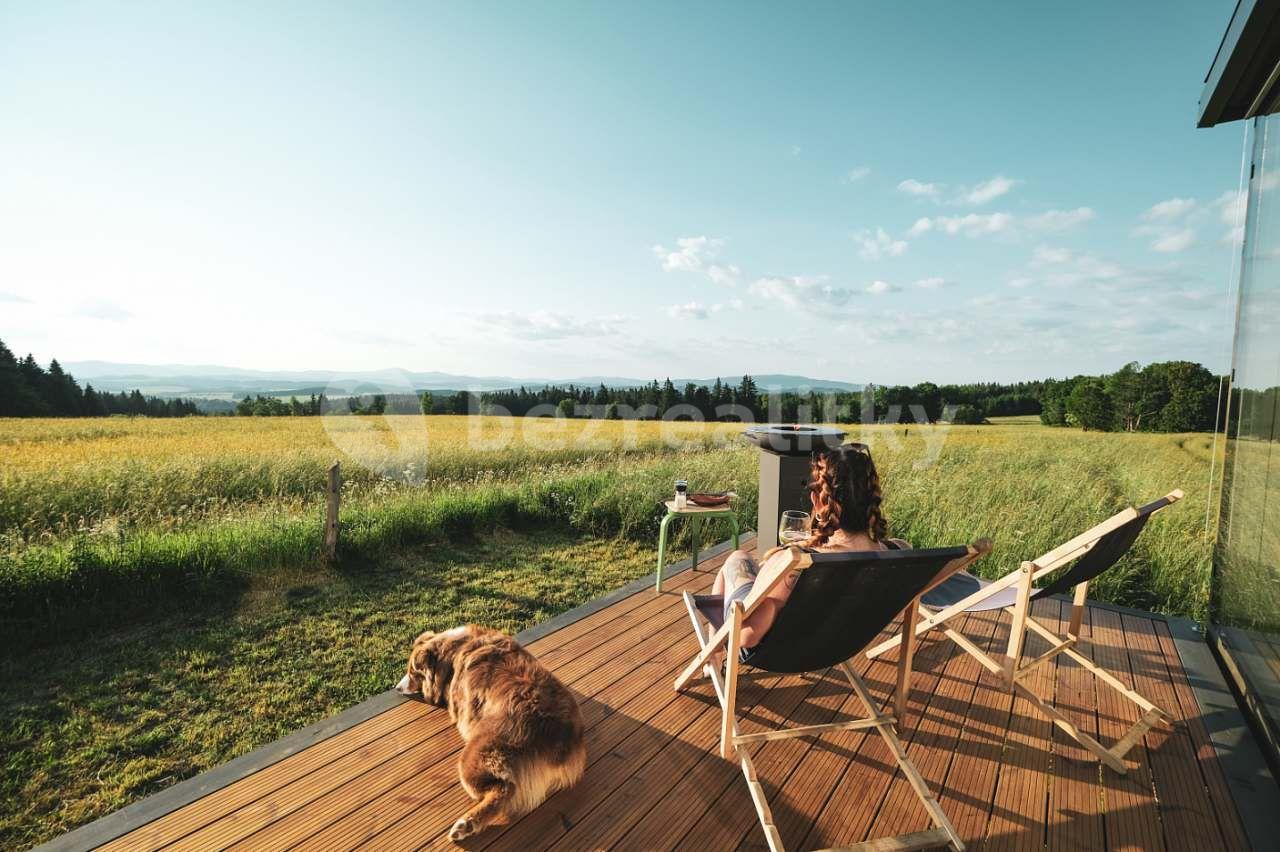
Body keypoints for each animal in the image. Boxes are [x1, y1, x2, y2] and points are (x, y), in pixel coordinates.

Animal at [396, 621, 586, 839]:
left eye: (412, 672)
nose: (396, 688)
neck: (453, 649)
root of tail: (560, 736)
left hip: (476, 755)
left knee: (504, 789)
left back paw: (466, 824)